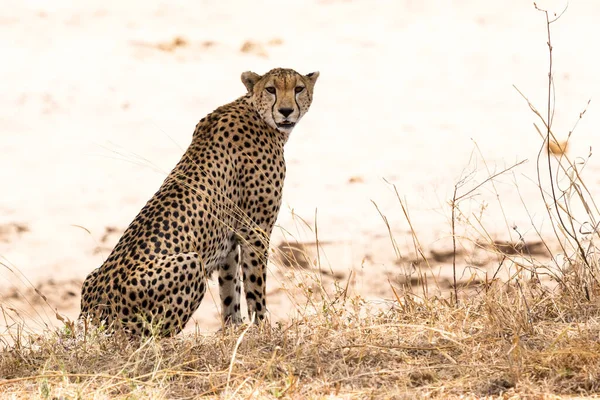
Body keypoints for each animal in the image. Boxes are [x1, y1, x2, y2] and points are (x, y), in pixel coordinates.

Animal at [79, 69, 318, 338]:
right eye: (270, 89)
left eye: (298, 88)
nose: (286, 111)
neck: (256, 112)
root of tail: (93, 312)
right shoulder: (255, 229)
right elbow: (255, 287)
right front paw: (261, 329)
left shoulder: (228, 238)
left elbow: (230, 288)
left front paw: (233, 329)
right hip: (191, 263)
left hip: (91, 277)